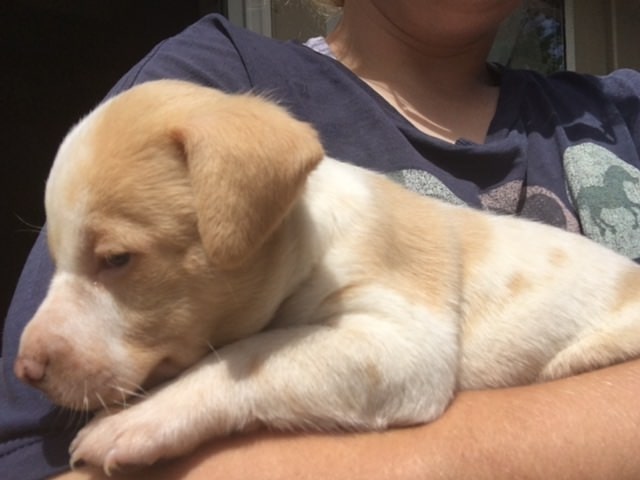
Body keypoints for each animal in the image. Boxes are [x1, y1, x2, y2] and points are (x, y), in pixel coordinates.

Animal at [13, 80, 640, 474]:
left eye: (117, 259)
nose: (26, 371)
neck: (313, 242)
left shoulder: (402, 341)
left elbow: (251, 354)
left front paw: (141, 417)